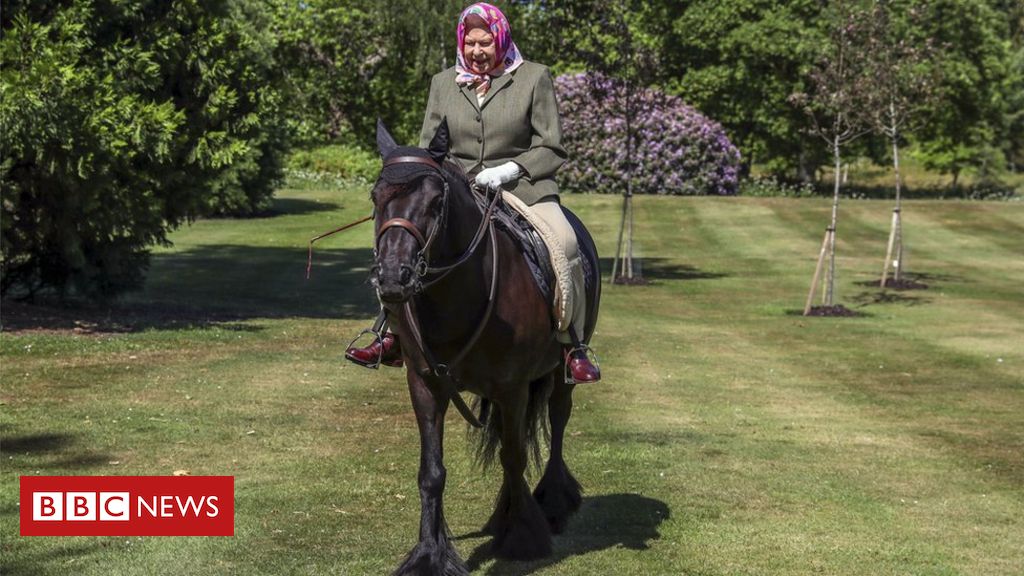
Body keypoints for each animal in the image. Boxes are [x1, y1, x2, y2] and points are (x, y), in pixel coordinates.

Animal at [372, 118, 598, 569]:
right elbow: (432, 471)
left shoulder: (512, 388)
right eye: (375, 196)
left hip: (560, 374)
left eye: (435, 200)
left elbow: (514, 457)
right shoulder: (424, 384)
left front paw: (523, 537)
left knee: (557, 424)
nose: (391, 278)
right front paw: (429, 554)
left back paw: (551, 504)